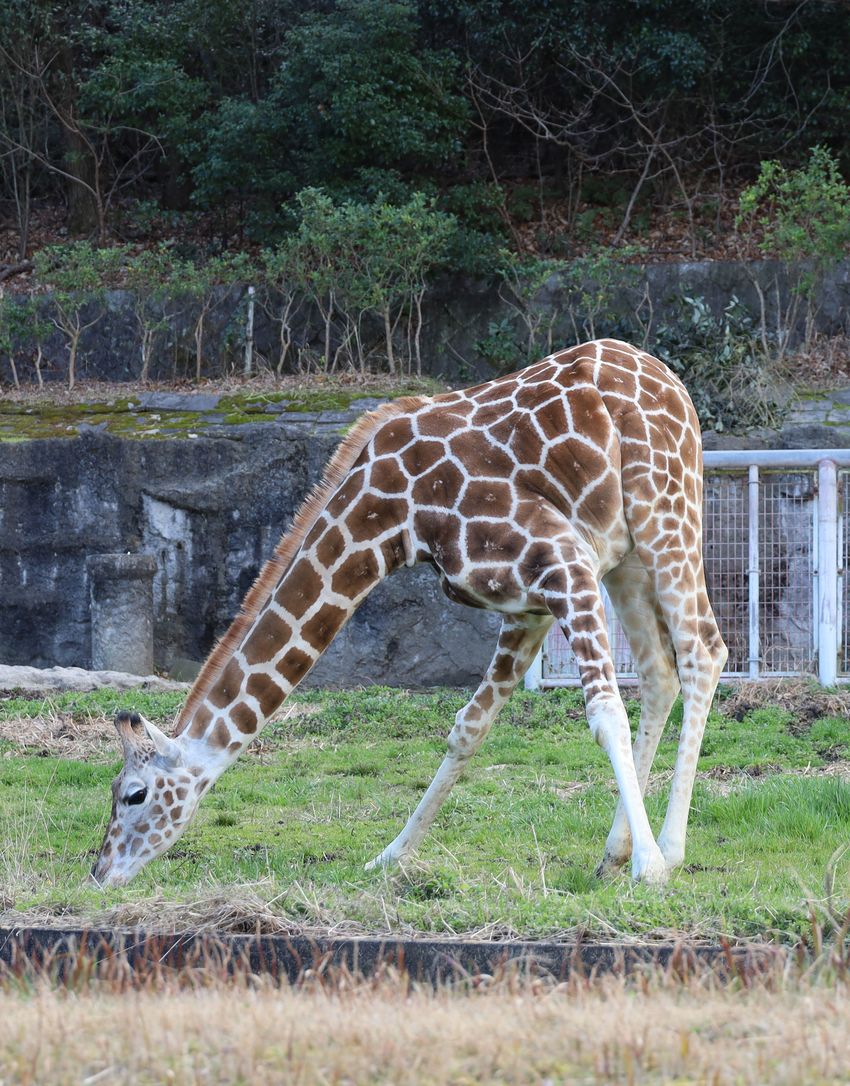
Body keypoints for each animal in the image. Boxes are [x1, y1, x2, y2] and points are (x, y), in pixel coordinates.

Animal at [94, 341, 729, 890]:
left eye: (133, 794)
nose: (99, 873)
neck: (392, 516)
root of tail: (671, 381)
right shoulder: (528, 602)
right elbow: (467, 729)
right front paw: (390, 856)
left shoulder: (560, 560)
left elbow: (603, 712)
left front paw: (651, 868)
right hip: (625, 556)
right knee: (659, 671)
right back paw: (612, 853)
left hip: (667, 511)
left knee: (704, 649)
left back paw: (666, 850)